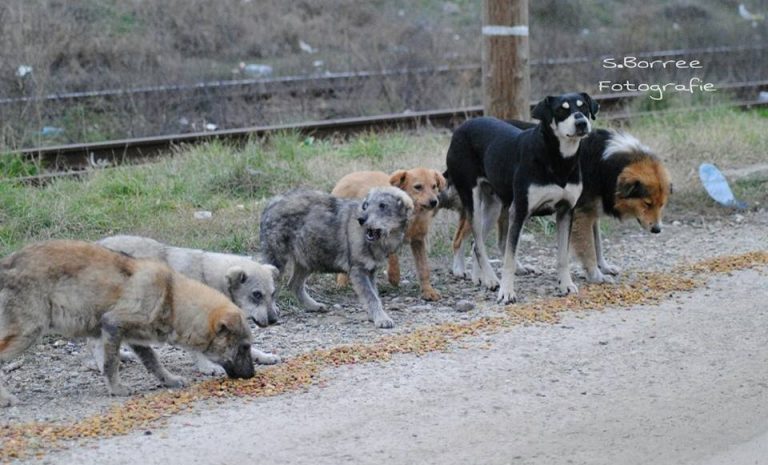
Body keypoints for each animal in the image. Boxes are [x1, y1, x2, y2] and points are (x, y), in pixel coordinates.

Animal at [92, 234, 280, 376]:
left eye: (273, 294)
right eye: (257, 295)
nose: (274, 320)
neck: (209, 279)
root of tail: (96, 243)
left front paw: (264, 356)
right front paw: (207, 367)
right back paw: (102, 363)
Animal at [258, 187, 414, 328]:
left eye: (382, 205)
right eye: (366, 205)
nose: (361, 219)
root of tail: (272, 202)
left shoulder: (370, 271)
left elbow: (374, 295)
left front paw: (375, 316)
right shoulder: (358, 271)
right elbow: (372, 297)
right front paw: (381, 319)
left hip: (308, 259)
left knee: (294, 284)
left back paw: (313, 306)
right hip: (279, 261)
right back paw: (273, 309)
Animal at [332, 168, 450, 300]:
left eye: (434, 186)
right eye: (418, 187)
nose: (434, 202)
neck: (411, 215)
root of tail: (347, 177)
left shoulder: (418, 240)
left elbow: (423, 268)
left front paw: (428, 291)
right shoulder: (387, 235)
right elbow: (393, 259)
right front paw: (394, 276)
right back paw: (342, 281)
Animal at [444, 92, 600, 302]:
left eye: (583, 107)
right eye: (562, 110)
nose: (582, 123)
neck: (558, 159)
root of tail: (460, 128)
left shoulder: (566, 211)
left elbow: (563, 257)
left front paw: (566, 285)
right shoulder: (518, 211)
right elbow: (509, 259)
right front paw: (507, 292)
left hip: (493, 207)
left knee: (477, 243)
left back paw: (481, 278)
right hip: (472, 201)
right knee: (478, 242)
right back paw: (491, 279)